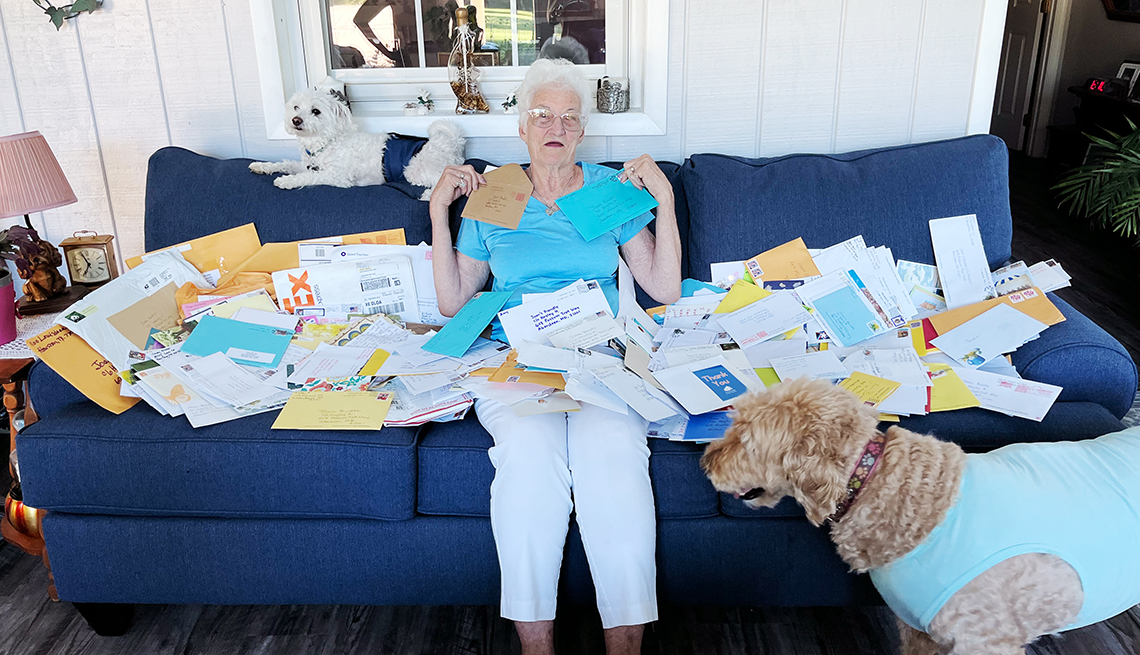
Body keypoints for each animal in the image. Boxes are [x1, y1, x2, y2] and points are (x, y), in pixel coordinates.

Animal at [249, 87, 462, 200]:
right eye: (295, 107)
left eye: (316, 111)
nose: (295, 120)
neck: (325, 144)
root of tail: (450, 143)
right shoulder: (306, 165)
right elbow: (286, 163)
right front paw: (262, 166)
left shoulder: (337, 177)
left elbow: (307, 177)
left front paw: (286, 181)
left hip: (415, 169)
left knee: (446, 179)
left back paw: (429, 195)